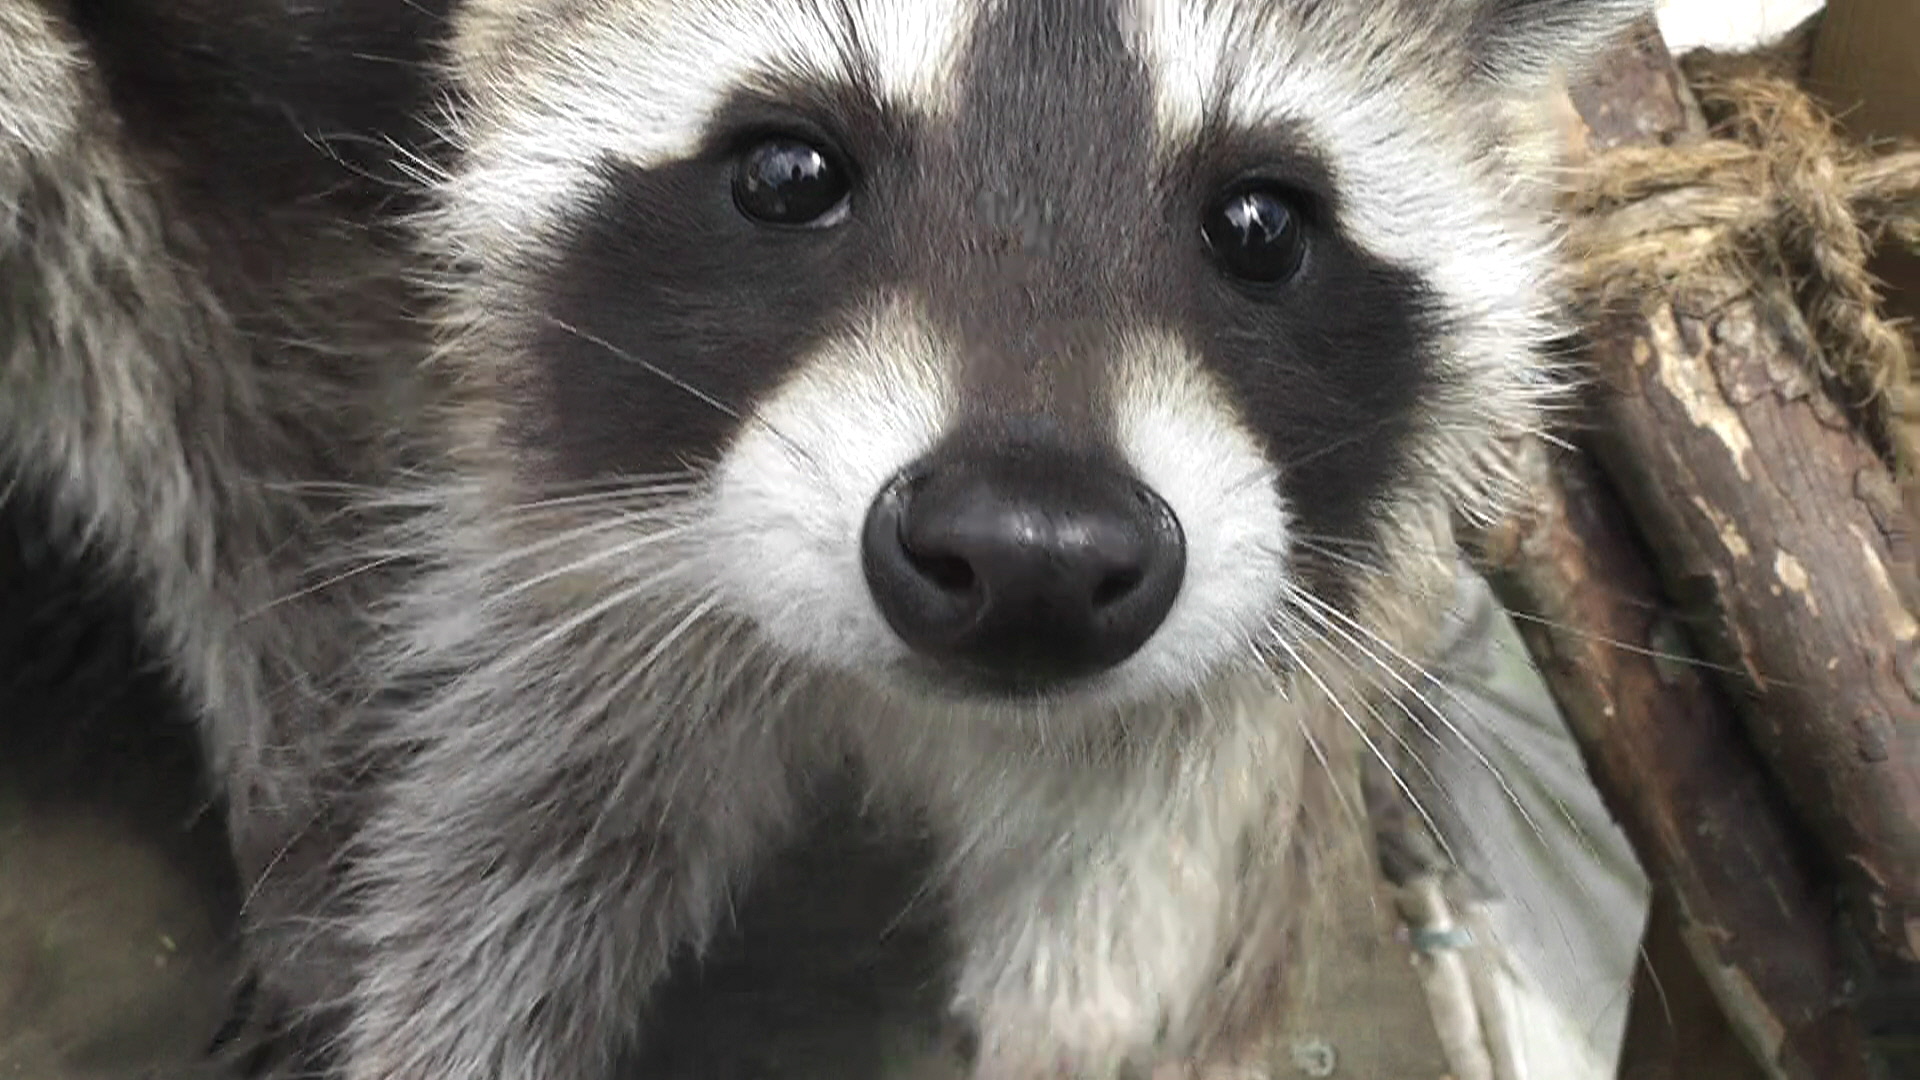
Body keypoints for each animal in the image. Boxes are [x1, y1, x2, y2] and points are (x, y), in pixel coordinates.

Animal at [0, 0, 1649, 1077]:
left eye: (1262, 224)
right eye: (788, 172)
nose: (1031, 558)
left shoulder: (1254, 652)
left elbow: (1131, 943)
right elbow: (502, 844)